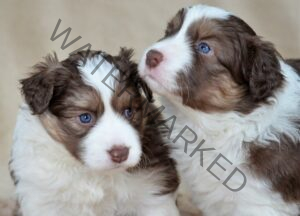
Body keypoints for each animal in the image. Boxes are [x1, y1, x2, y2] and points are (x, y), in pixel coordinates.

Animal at [10, 49, 179, 216]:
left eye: (128, 111)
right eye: (85, 117)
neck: (94, 173)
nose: (120, 154)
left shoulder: (153, 190)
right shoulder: (42, 199)